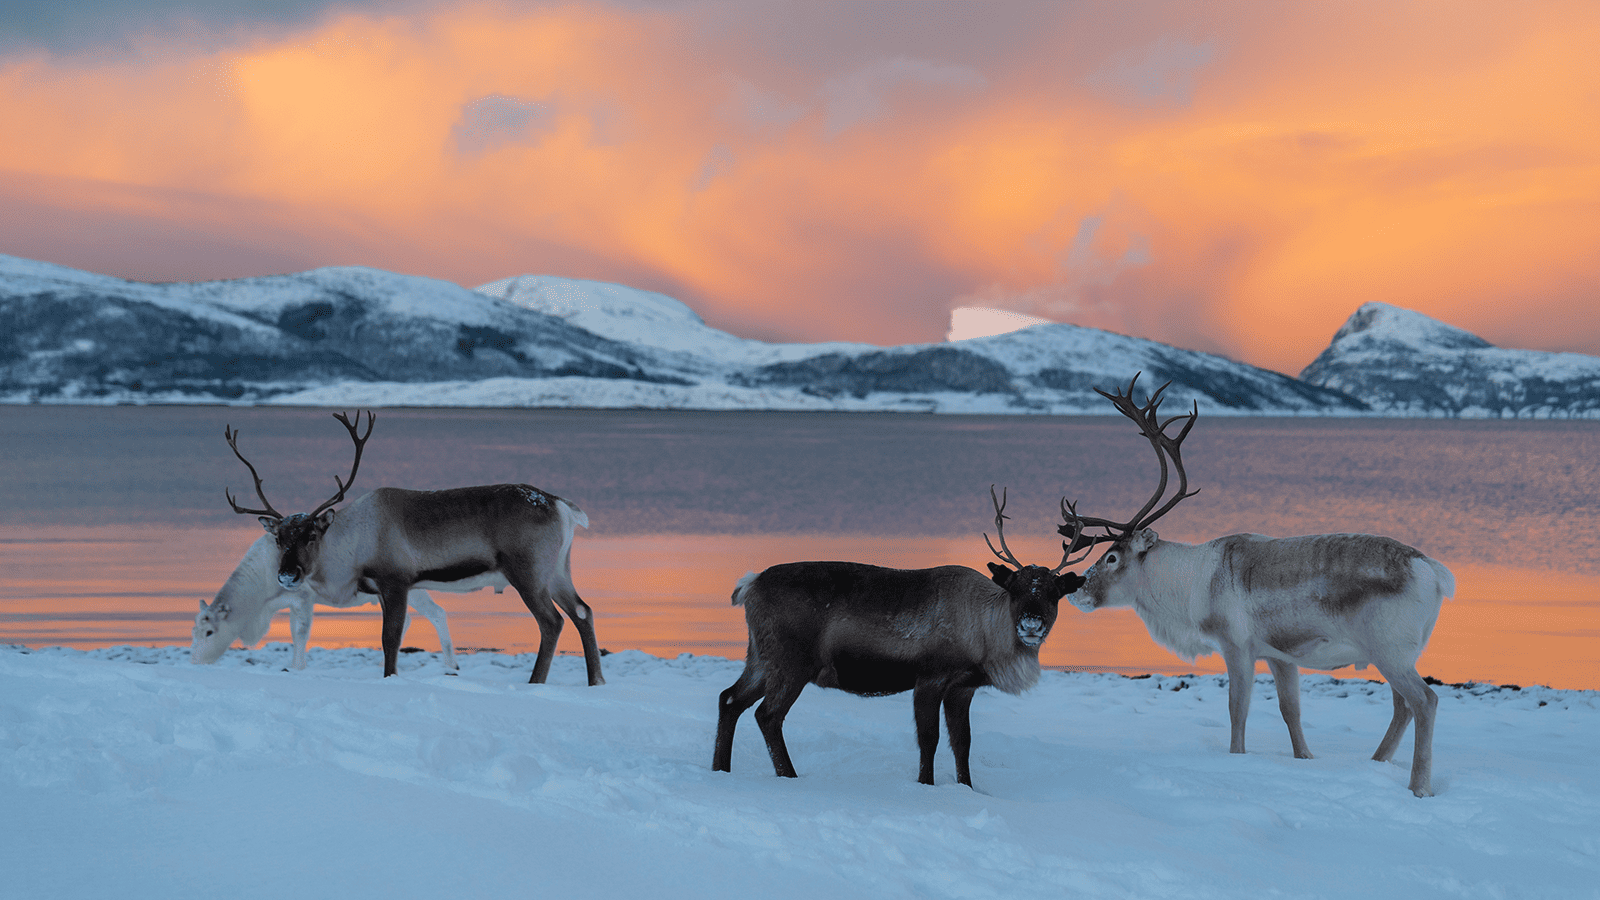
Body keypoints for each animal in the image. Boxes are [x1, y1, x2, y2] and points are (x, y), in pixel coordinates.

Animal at [215, 411, 604, 684]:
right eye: (279, 538)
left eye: (311, 534)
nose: (287, 574)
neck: (352, 547)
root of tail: (561, 505)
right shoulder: (382, 589)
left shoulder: (396, 581)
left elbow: (390, 639)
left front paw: (390, 679)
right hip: (558, 570)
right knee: (583, 611)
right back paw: (595, 681)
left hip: (527, 571)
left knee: (552, 621)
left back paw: (535, 681)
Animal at [712, 488, 1087, 787]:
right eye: (1015, 588)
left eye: (1054, 593)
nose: (1031, 624)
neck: (984, 639)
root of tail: (750, 585)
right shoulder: (930, 677)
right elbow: (929, 739)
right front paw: (926, 785)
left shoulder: (963, 687)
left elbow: (963, 743)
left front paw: (967, 788)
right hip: (791, 663)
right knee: (767, 715)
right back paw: (788, 776)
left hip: (760, 658)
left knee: (729, 699)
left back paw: (720, 770)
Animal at [1059, 374, 1455, 797]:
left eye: (1111, 558)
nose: (1077, 589)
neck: (1192, 585)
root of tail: (1433, 571)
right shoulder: (1280, 655)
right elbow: (1290, 711)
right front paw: (1305, 759)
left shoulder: (1236, 643)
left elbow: (1237, 708)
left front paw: (1237, 759)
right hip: (1399, 652)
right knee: (1402, 706)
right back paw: (1377, 763)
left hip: (1389, 648)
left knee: (1425, 700)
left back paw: (1419, 787)